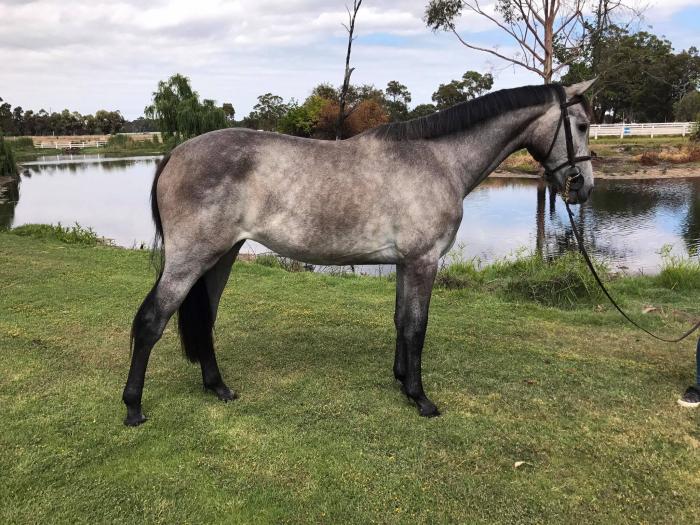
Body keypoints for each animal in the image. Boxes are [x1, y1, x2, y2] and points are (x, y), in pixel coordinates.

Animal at [123, 80, 596, 426]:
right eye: (582, 125)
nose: (584, 187)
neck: (437, 159)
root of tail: (175, 151)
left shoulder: (407, 263)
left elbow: (402, 321)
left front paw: (402, 381)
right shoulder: (425, 261)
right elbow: (417, 328)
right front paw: (421, 399)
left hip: (221, 257)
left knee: (204, 320)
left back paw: (218, 388)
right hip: (190, 259)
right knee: (150, 322)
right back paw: (133, 408)